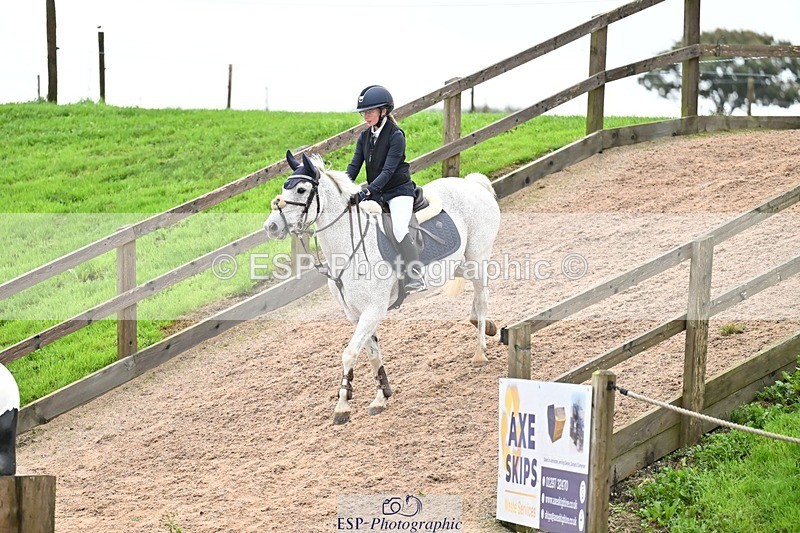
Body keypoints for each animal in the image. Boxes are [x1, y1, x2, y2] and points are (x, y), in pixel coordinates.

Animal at [264, 152, 500, 424]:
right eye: (285, 187)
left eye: (301, 190)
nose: (271, 227)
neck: (349, 248)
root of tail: (473, 184)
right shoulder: (355, 314)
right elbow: (372, 353)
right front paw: (381, 396)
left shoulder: (373, 310)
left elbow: (350, 353)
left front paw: (343, 405)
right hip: (460, 265)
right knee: (478, 299)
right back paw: (487, 327)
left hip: (477, 259)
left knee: (483, 299)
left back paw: (480, 352)